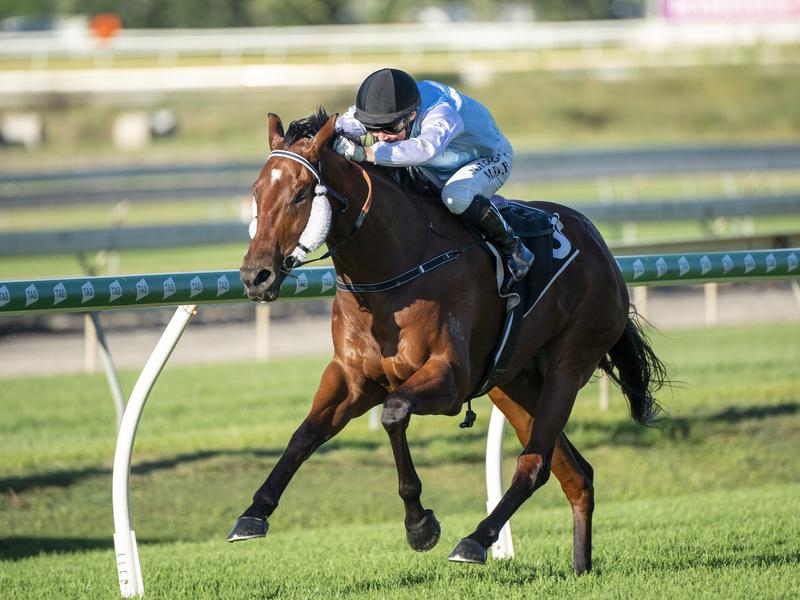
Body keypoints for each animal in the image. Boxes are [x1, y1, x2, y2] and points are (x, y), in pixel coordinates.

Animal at [231, 108, 666, 574]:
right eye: (256, 192)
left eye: (300, 194)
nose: (256, 276)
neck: (394, 267)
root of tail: (600, 246)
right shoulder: (352, 377)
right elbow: (304, 434)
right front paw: (254, 512)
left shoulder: (449, 378)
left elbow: (394, 413)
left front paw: (419, 524)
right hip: (512, 382)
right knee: (575, 473)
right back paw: (580, 566)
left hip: (567, 366)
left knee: (535, 463)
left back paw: (476, 540)